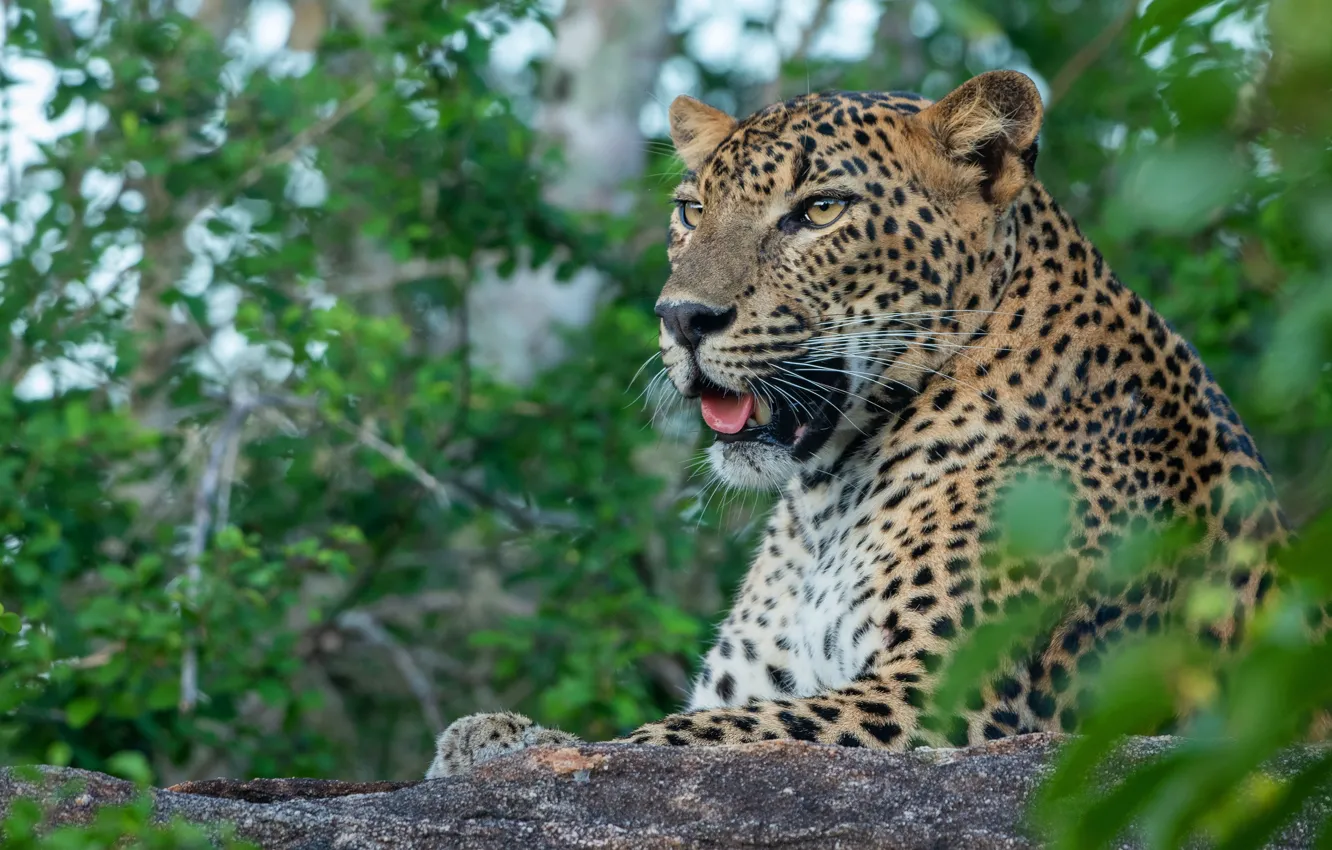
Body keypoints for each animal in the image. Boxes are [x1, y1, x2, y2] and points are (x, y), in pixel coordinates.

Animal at [426, 70, 1295, 779]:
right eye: (691, 210)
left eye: (819, 211)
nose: (681, 318)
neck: (825, 502)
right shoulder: (764, 679)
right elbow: (703, 722)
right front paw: (488, 733)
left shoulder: (943, 700)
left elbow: (683, 738)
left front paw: (515, 744)